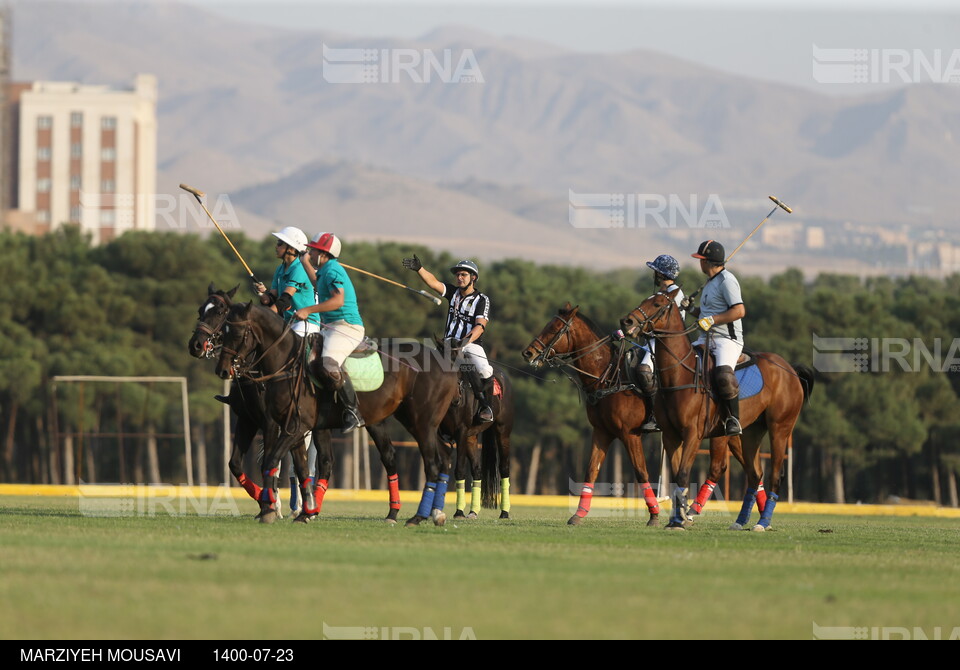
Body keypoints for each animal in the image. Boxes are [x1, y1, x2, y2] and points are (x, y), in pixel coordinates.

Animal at [218, 302, 462, 528]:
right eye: (222, 331)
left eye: (237, 333)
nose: (223, 369)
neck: (287, 365)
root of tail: (446, 361)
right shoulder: (297, 428)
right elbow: (304, 468)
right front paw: (306, 512)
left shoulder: (296, 426)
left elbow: (272, 460)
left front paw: (269, 509)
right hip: (416, 422)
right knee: (438, 457)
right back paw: (428, 513)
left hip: (421, 423)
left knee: (432, 464)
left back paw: (418, 516)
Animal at [436, 354, 512, 524]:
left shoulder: (461, 432)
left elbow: (459, 470)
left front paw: (458, 511)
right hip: (471, 438)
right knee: (477, 470)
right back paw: (473, 511)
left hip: (502, 431)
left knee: (504, 468)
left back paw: (505, 512)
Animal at [620, 292, 812, 532]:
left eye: (657, 304)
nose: (626, 322)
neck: (679, 374)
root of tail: (791, 370)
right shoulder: (671, 435)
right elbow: (676, 476)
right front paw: (676, 519)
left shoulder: (693, 434)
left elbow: (683, 473)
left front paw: (680, 520)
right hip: (751, 432)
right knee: (754, 473)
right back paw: (740, 521)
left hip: (780, 427)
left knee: (775, 474)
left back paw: (762, 522)